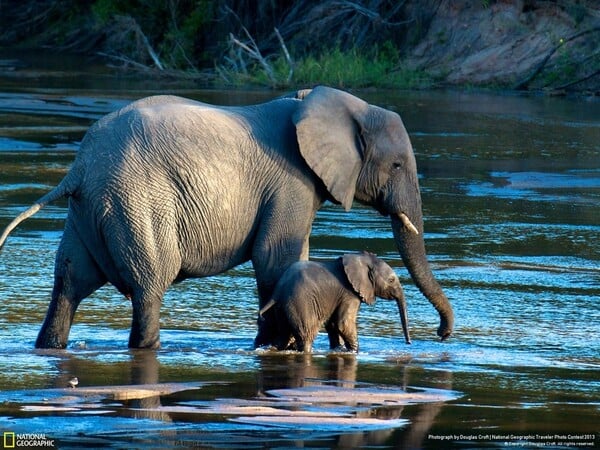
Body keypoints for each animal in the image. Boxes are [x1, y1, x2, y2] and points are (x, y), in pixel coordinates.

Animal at [255, 251, 410, 354]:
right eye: (391, 280)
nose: (408, 343)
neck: (360, 258)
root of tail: (278, 291)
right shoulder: (349, 294)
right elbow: (343, 323)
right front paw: (354, 352)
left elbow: (333, 324)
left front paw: (339, 349)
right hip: (299, 303)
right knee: (306, 335)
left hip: (282, 307)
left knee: (283, 335)